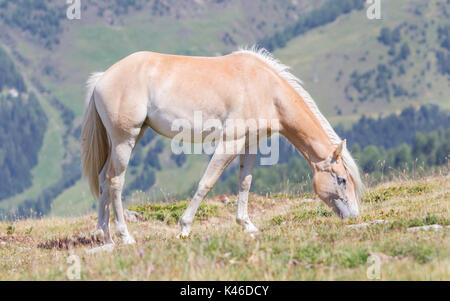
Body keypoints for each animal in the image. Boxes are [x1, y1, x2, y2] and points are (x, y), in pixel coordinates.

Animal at [82, 45, 366, 245]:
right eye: (341, 179)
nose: (354, 216)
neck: (266, 89)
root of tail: (102, 78)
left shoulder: (251, 143)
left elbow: (245, 182)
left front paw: (247, 224)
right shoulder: (231, 142)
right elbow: (207, 182)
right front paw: (184, 227)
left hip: (128, 138)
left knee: (103, 178)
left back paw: (105, 236)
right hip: (124, 139)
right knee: (115, 181)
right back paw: (125, 236)